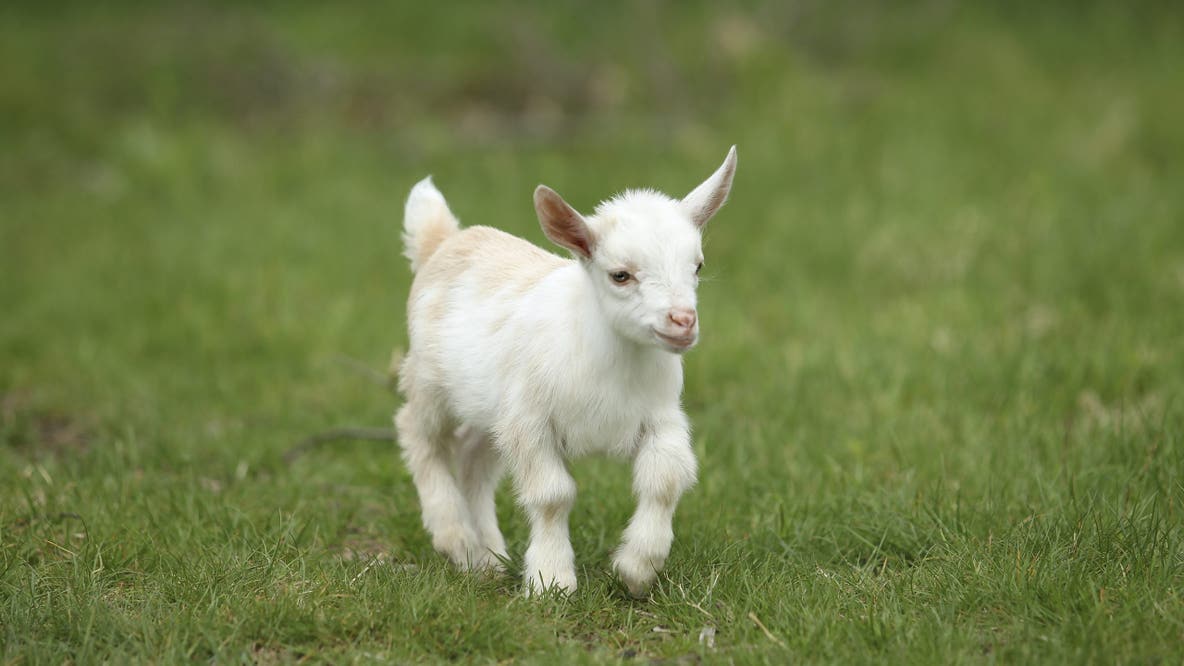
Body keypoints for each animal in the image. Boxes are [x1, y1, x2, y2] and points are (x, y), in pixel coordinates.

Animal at [395, 147, 737, 596]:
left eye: (697, 266)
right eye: (620, 275)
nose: (683, 321)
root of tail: (445, 241)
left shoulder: (661, 418)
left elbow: (664, 480)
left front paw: (637, 568)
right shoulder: (531, 422)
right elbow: (552, 496)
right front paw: (551, 581)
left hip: (492, 407)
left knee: (473, 456)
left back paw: (487, 558)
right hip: (430, 381)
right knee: (420, 435)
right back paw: (456, 539)